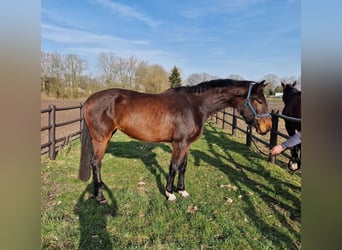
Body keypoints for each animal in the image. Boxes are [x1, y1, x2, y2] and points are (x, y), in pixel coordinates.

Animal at [78, 78, 272, 203]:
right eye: (257, 100)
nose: (267, 127)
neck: (195, 105)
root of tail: (89, 100)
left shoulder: (187, 144)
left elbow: (183, 167)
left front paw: (182, 191)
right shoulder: (179, 143)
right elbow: (174, 167)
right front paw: (170, 194)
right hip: (101, 139)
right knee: (96, 163)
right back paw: (100, 197)